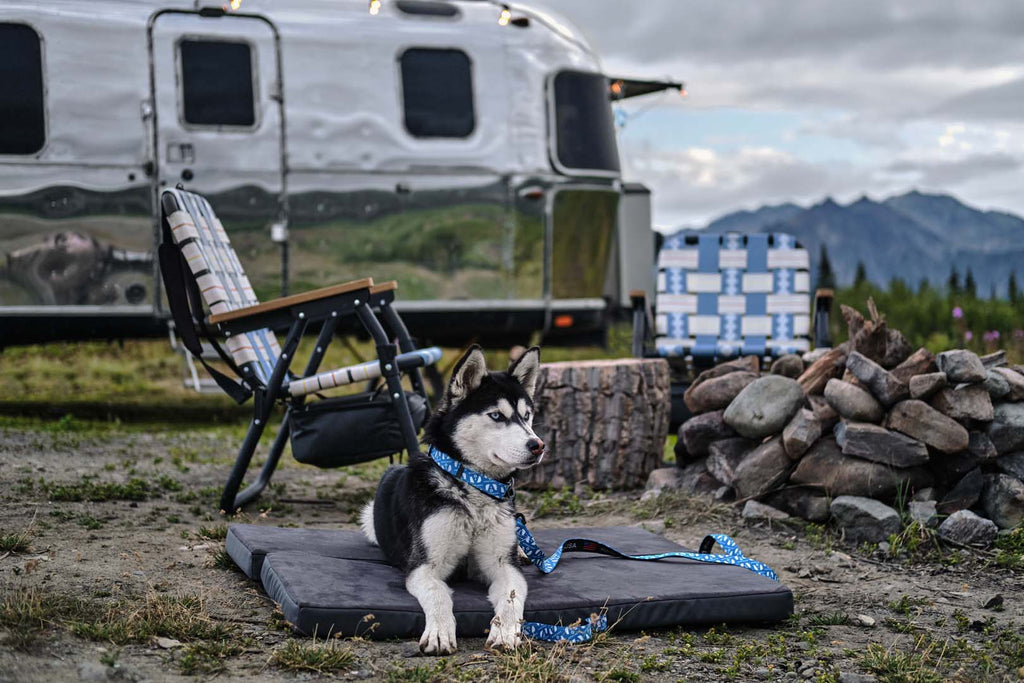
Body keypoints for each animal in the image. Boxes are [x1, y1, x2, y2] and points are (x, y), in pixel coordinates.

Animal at [364, 348, 548, 655]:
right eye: (496, 415)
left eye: (527, 416)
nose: (538, 446)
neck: (473, 489)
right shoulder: (424, 566)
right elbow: (439, 594)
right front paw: (439, 631)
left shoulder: (503, 565)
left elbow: (511, 597)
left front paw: (506, 631)